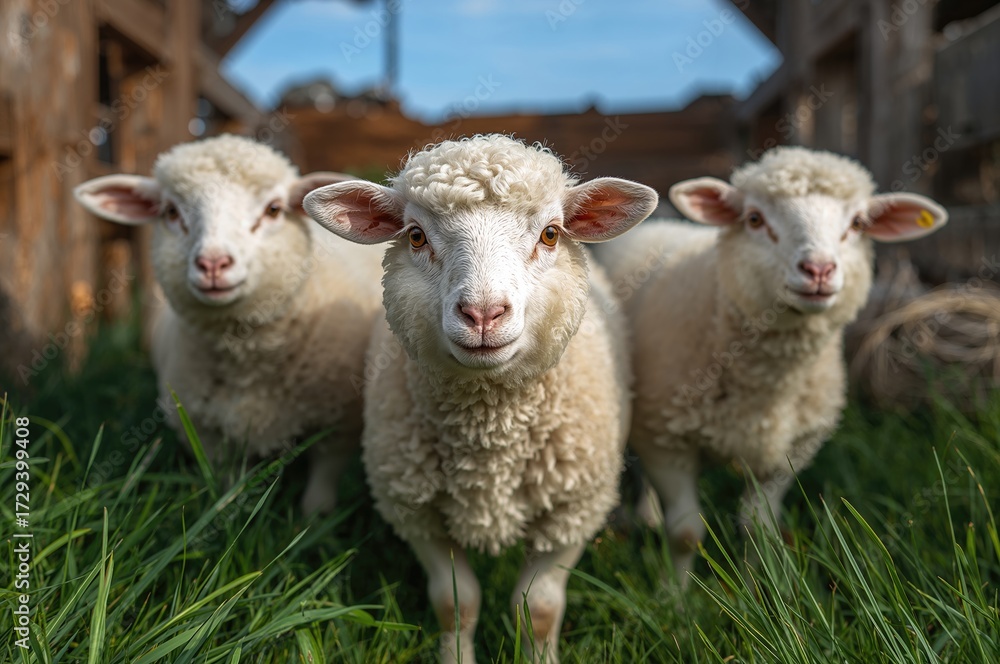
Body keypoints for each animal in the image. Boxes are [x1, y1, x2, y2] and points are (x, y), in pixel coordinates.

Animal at [73, 134, 385, 514]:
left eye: (273, 209)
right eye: (171, 212)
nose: (213, 263)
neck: (246, 354)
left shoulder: (340, 422)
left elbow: (322, 484)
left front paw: (317, 519)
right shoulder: (206, 430)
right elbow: (229, 486)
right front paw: (230, 512)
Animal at [303, 134, 658, 663]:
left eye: (551, 234)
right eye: (415, 236)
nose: (483, 314)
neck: (490, 434)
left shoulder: (571, 511)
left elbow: (540, 608)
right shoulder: (419, 514)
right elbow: (456, 603)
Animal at [592, 146, 948, 579]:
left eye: (858, 223)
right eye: (754, 219)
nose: (818, 269)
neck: (767, 386)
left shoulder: (790, 452)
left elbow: (757, 528)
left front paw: (757, 587)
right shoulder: (664, 438)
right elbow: (685, 533)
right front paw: (675, 591)